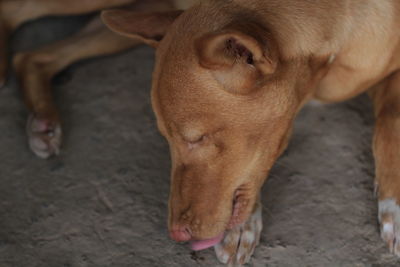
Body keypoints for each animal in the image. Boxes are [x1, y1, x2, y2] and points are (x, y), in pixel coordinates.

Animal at [2, 0, 400, 266]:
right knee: (17, 12)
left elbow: (389, 122)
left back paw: (41, 118)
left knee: (35, 56)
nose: (176, 234)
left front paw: (394, 208)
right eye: (165, 137)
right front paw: (242, 226)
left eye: (196, 138)